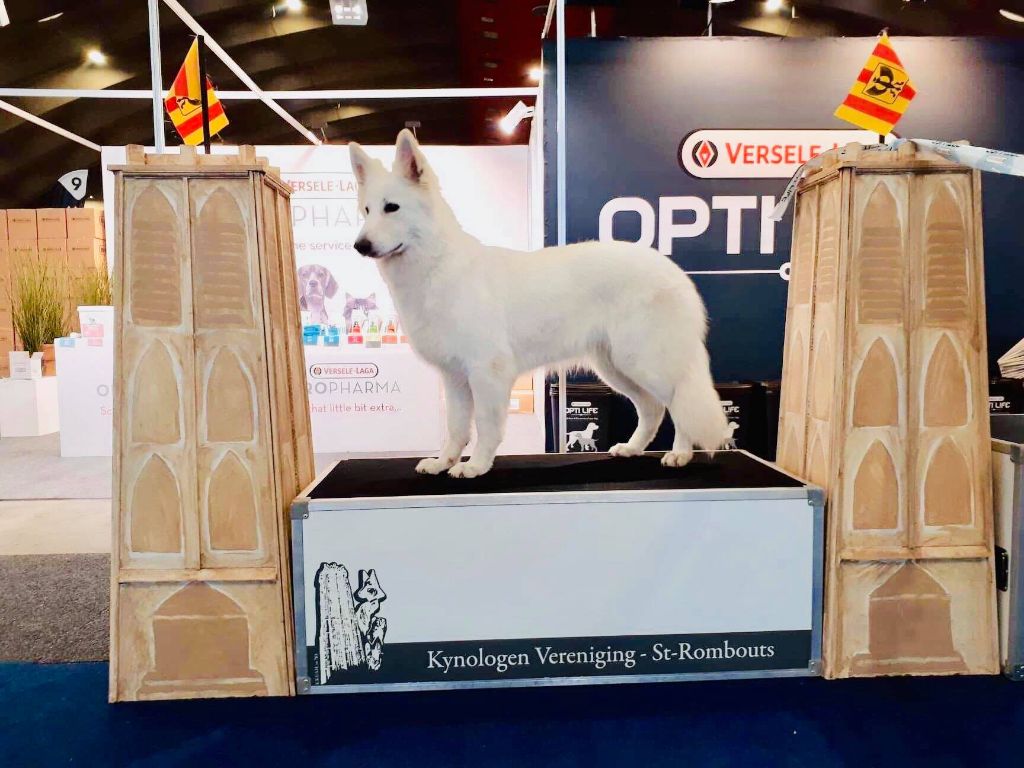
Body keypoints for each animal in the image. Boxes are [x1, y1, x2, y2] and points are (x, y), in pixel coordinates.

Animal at [349, 130, 730, 478]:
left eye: (392, 208)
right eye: (366, 210)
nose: (360, 246)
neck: (436, 264)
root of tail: (675, 271)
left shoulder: (487, 372)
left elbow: (485, 426)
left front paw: (476, 466)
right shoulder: (455, 378)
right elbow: (456, 428)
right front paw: (444, 462)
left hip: (646, 362)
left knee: (679, 403)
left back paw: (680, 454)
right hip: (616, 367)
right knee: (653, 409)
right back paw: (632, 449)